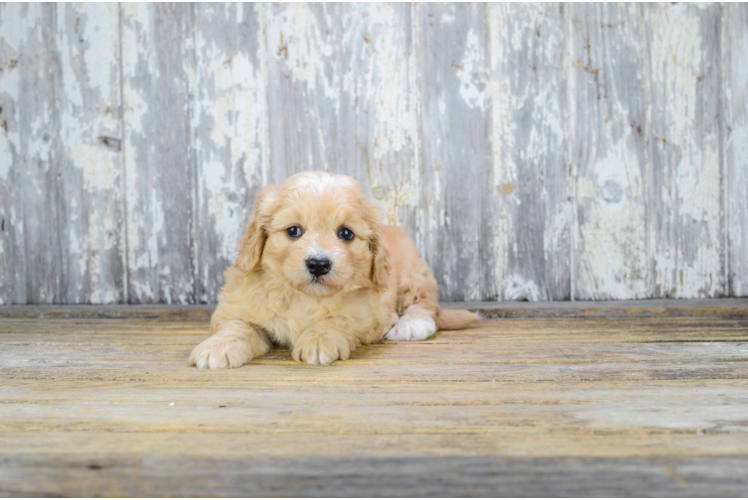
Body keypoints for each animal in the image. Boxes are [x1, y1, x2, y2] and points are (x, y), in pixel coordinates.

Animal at [190, 170, 476, 370]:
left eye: (346, 233)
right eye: (293, 230)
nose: (318, 264)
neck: (304, 297)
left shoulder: (367, 315)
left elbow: (337, 319)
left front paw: (318, 340)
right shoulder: (237, 305)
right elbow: (237, 326)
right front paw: (217, 348)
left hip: (412, 271)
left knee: (425, 304)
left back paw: (411, 326)